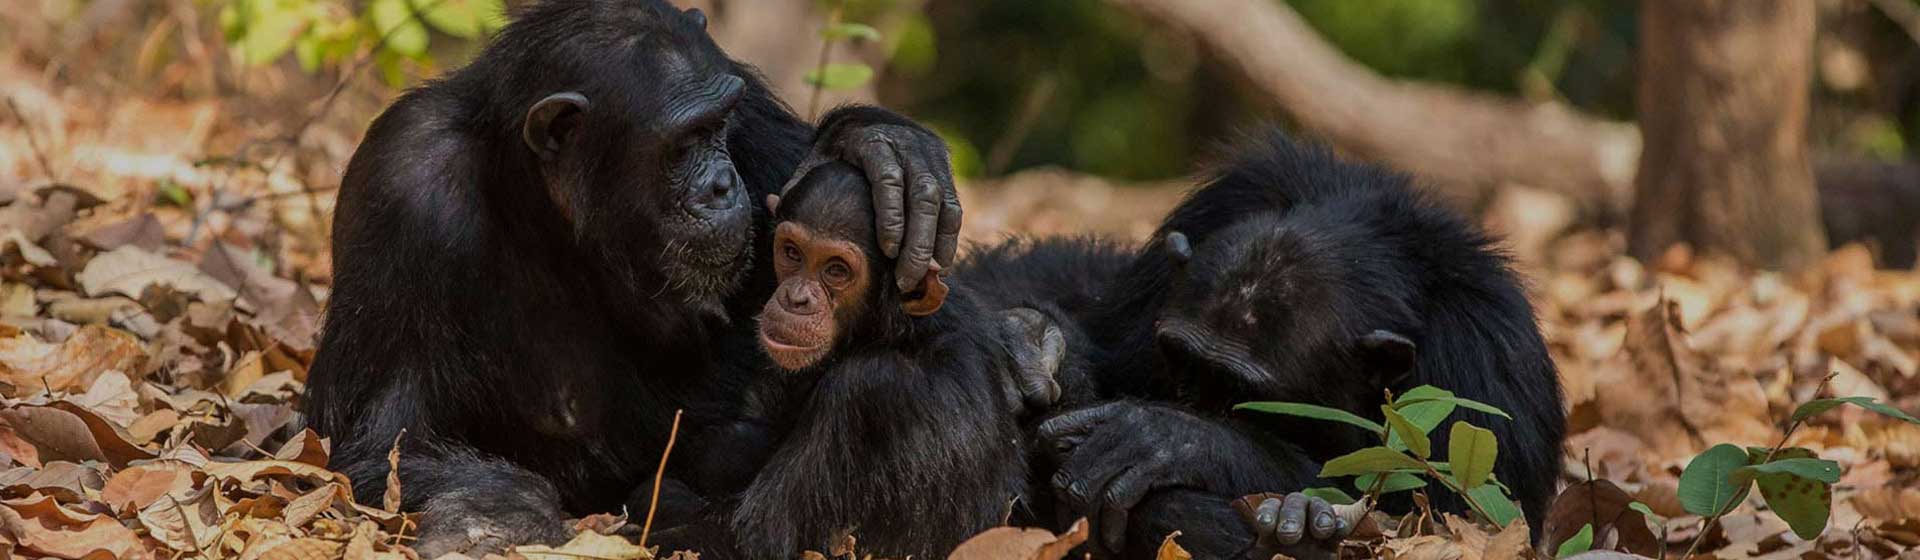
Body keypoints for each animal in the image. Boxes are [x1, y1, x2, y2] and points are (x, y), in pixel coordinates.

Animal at [307, 2, 967, 556]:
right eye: (685, 142)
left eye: (719, 126)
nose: (723, 184)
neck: (541, 202)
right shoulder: (399, 183)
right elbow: (375, 443)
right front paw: (498, 516)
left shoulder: (745, 97)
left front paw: (882, 146)